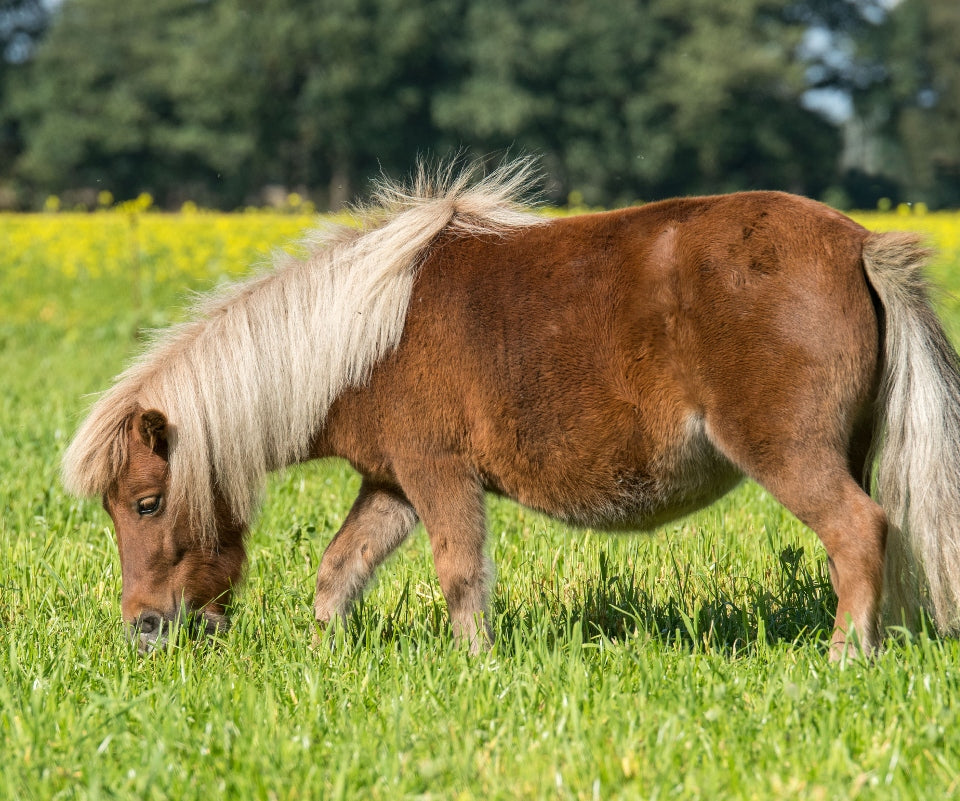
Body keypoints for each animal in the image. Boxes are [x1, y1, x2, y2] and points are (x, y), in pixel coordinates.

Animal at [63, 159, 960, 658]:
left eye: (147, 502)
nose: (144, 629)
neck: (366, 331)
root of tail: (858, 244)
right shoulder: (392, 484)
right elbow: (339, 570)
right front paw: (327, 657)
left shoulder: (437, 474)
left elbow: (460, 571)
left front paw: (473, 663)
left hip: (788, 454)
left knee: (858, 532)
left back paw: (846, 657)